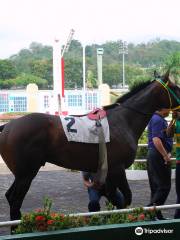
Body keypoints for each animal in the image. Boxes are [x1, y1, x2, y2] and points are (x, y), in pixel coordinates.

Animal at [0, 70, 179, 223]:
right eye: (175, 87)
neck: (124, 120)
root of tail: (8, 126)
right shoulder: (117, 169)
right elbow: (126, 198)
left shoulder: (108, 173)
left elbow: (116, 200)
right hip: (26, 173)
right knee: (15, 200)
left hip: (23, 174)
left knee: (11, 197)